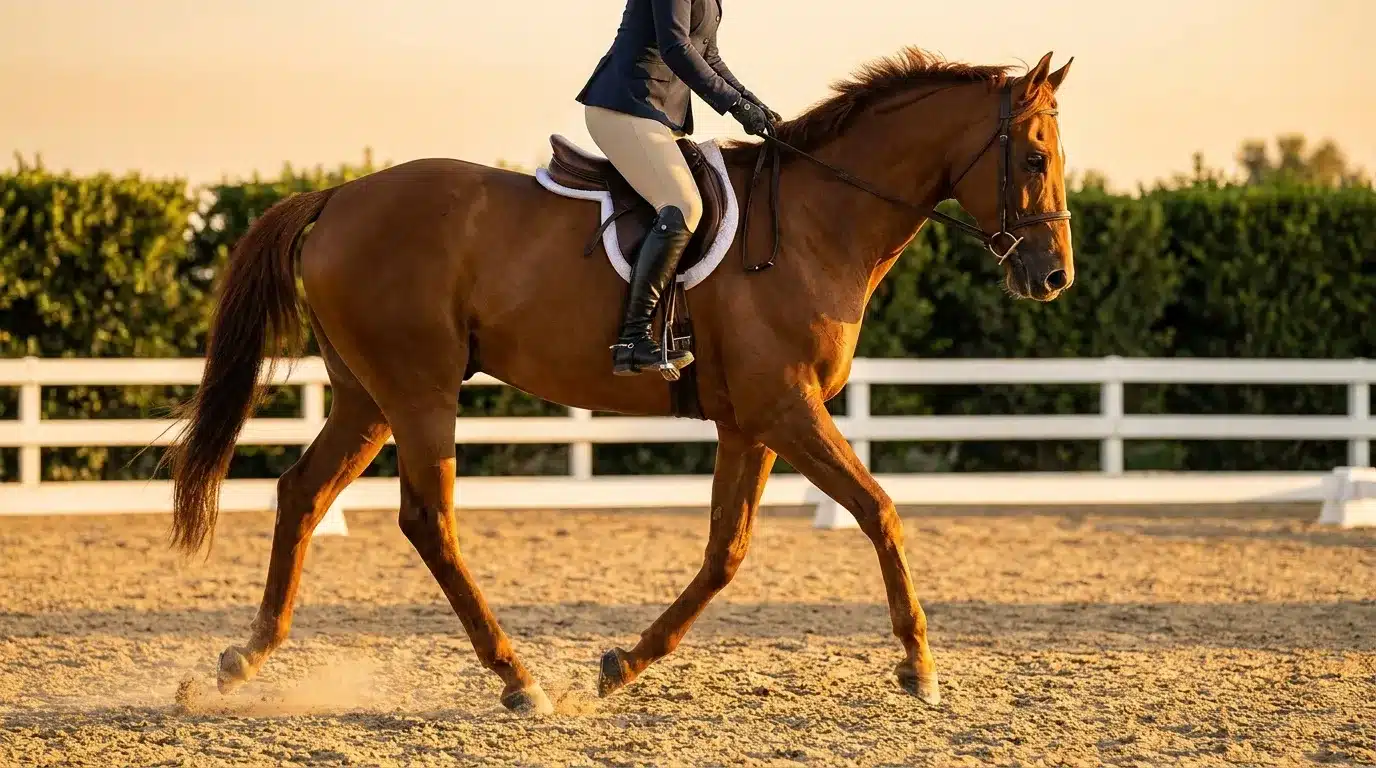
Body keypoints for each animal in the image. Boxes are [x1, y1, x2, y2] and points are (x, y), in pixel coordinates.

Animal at [168, 47, 1075, 715]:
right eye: (1034, 158)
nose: (1054, 276)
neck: (821, 223)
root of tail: (339, 195)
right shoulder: (788, 409)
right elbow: (879, 509)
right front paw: (920, 666)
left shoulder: (750, 423)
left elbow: (725, 553)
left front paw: (624, 664)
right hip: (420, 391)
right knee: (428, 521)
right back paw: (517, 679)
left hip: (366, 397)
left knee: (303, 494)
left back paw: (239, 663)